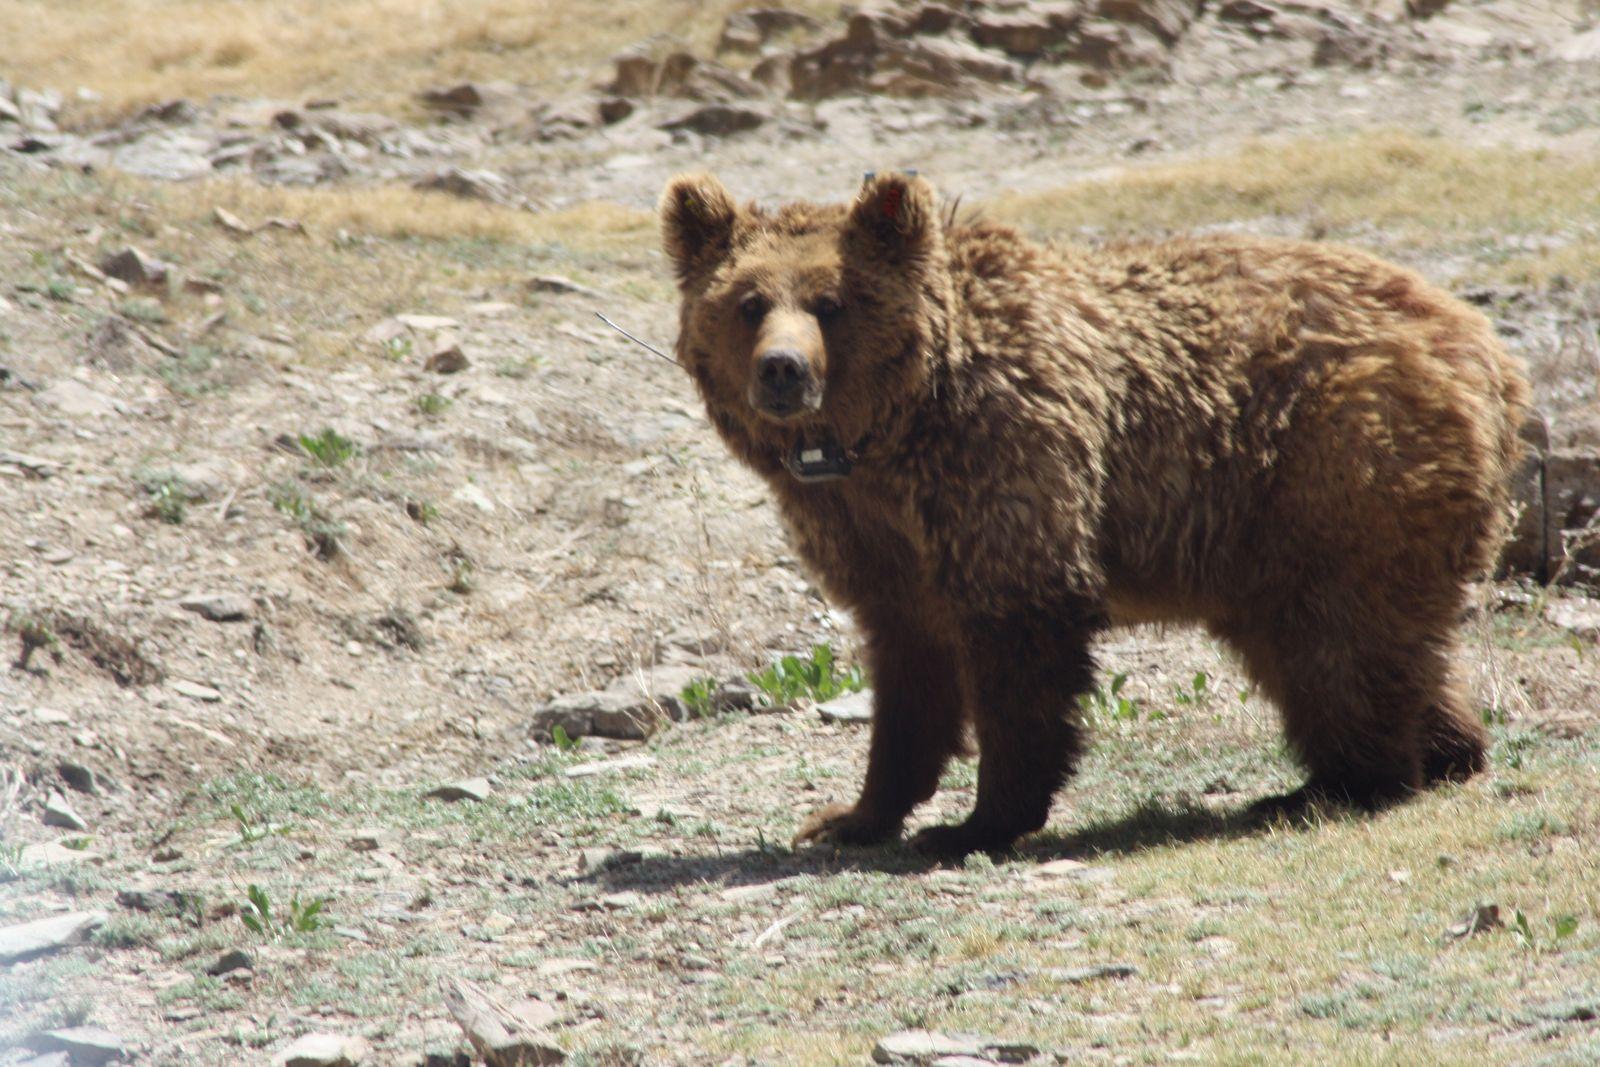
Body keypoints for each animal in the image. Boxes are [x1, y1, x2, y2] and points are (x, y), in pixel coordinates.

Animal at [659, 173, 1523, 857]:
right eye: (747, 302)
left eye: (831, 302)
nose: (782, 369)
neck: (893, 432)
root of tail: (1487, 348)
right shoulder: (872, 528)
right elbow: (907, 663)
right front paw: (851, 815)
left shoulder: (1003, 461)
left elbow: (1018, 637)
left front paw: (978, 822)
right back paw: (1444, 749)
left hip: (1330, 463)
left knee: (1335, 635)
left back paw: (1343, 781)